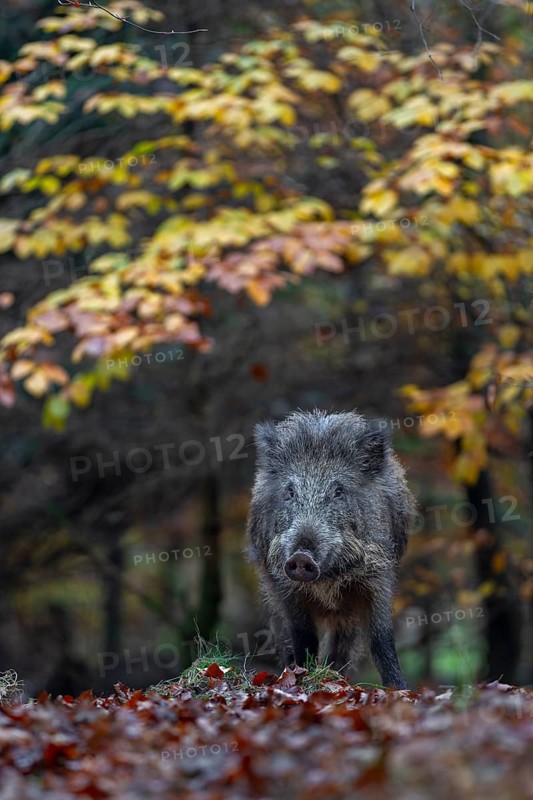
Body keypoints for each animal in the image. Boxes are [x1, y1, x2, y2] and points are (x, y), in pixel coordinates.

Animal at [246, 410, 415, 689]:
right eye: (290, 491)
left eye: (338, 491)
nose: (301, 557)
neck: (327, 579)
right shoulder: (284, 586)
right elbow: (302, 636)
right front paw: (301, 676)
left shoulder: (377, 579)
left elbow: (381, 639)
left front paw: (400, 689)